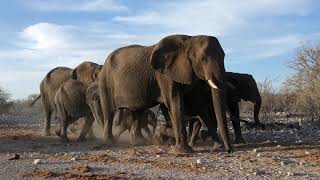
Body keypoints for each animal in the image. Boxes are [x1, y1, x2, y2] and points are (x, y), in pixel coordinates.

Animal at [99, 34, 231, 153]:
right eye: (203, 59)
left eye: (224, 56)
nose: (229, 150)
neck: (189, 39)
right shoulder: (163, 74)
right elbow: (174, 102)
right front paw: (182, 150)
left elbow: (182, 105)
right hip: (105, 81)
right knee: (109, 112)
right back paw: (110, 142)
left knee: (138, 111)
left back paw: (139, 142)